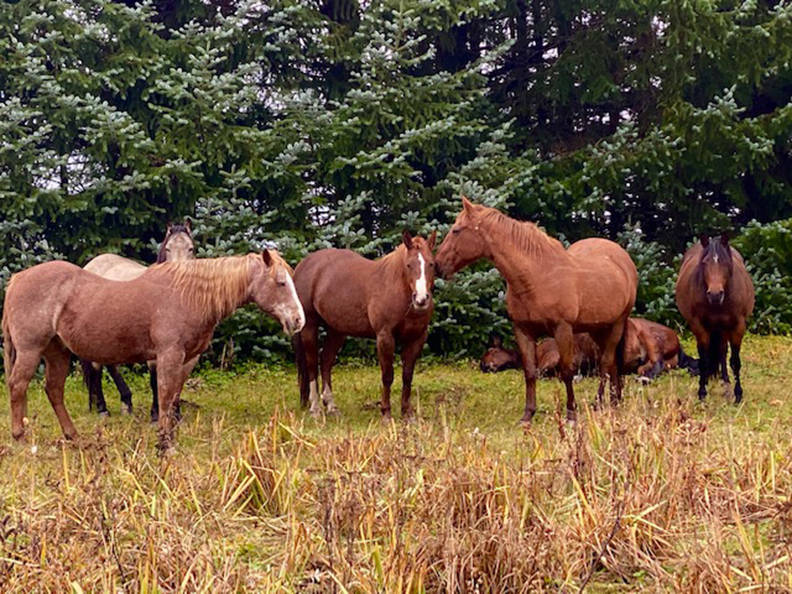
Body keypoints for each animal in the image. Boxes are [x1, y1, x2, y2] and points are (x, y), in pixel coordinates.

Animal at [3, 251, 305, 452]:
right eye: (280, 282)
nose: (298, 320)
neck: (187, 295)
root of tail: (18, 278)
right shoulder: (168, 355)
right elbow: (165, 395)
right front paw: (164, 443)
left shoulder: (184, 360)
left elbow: (173, 398)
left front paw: (170, 437)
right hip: (31, 349)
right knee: (18, 385)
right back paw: (20, 437)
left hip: (58, 352)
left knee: (54, 390)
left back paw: (73, 436)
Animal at [81, 220, 194, 419]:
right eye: (168, 249)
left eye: (191, 248)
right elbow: (156, 381)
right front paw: (156, 415)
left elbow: (178, 383)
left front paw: (176, 415)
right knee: (97, 367)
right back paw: (102, 408)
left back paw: (125, 403)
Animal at [293, 231, 436, 419]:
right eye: (409, 265)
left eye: (431, 264)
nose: (421, 299)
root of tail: (303, 265)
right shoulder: (384, 337)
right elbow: (387, 376)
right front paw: (386, 413)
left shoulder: (417, 338)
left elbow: (407, 376)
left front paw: (407, 414)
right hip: (309, 326)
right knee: (311, 365)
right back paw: (315, 409)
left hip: (336, 330)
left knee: (325, 361)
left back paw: (331, 406)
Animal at [435, 198, 638, 424]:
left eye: (456, 230)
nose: (437, 265)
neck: (535, 276)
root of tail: (624, 260)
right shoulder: (523, 330)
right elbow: (530, 372)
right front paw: (528, 415)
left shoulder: (563, 330)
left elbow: (567, 372)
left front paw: (571, 414)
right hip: (599, 329)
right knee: (613, 366)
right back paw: (615, 402)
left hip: (617, 325)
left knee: (605, 364)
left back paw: (598, 403)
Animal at [675, 234, 754, 402]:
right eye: (705, 262)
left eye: (725, 262)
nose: (715, 294)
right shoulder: (699, 326)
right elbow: (704, 361)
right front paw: (702, 393)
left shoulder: (738, 326)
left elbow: (735, 361)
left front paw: (738, 395)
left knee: (723, 352)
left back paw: (726, 382)